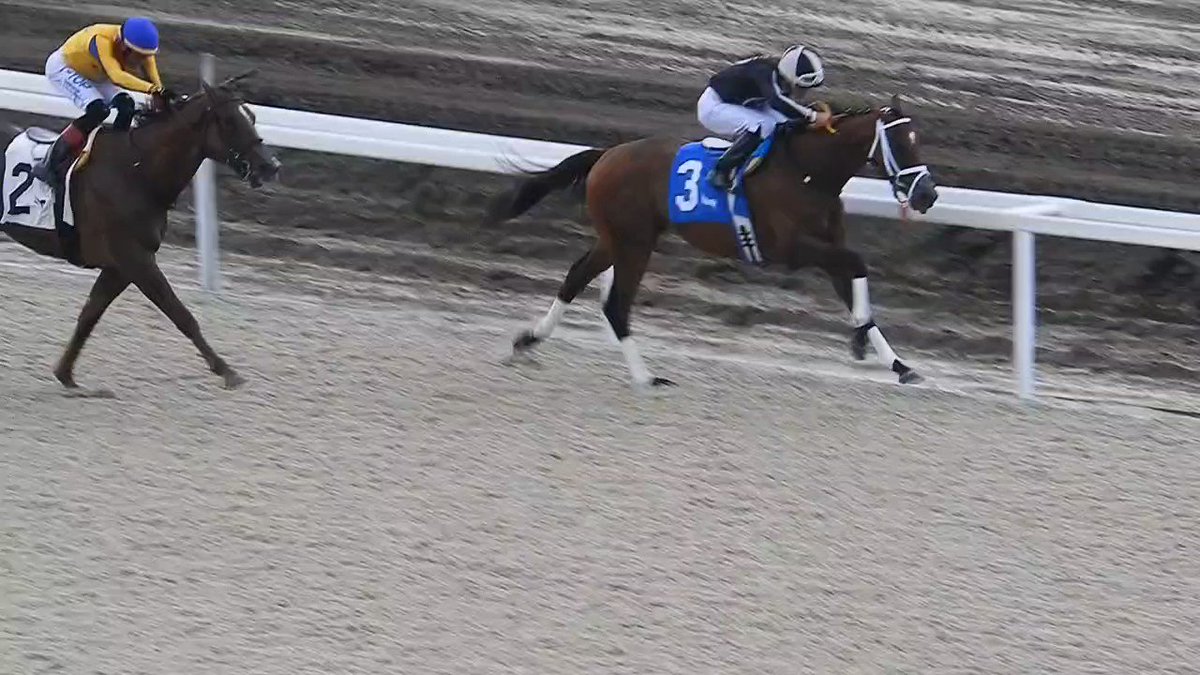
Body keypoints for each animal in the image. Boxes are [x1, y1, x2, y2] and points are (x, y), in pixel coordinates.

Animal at [0, 73, 278, 389]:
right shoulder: (136, 260)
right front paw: (226, 370)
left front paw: (65, 374)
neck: (136, 171)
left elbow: (89, 315)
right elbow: (181, 315)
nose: (271, 166)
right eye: (230, 121)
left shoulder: (119, 268)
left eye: (252, 116)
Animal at [484, 96, 936, 389]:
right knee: (616, 304)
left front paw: (897, 363)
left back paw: (529, 340)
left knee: (577, 276)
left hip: (617, 238)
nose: (928, 195)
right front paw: (860, 338)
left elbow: (854, 283)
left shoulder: (827, 245)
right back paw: (646, 377)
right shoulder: (791, 249)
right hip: (634, 242)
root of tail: (607, 154)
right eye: (900, 143)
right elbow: (857, 263)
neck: (809, 172)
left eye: (920, 140)